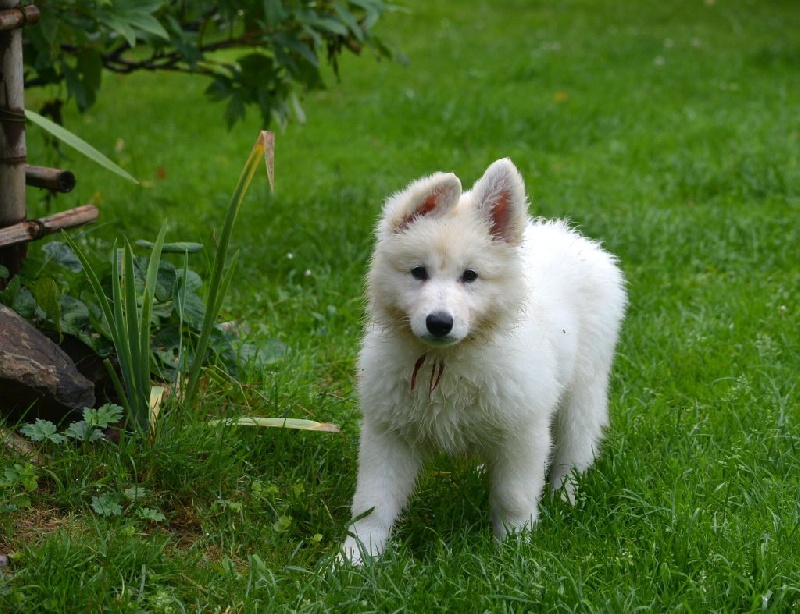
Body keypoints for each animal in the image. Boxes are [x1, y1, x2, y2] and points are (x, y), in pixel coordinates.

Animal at [340, 160, 628, 568]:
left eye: (470, 276)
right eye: (418, 272)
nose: (439, 322)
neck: (444, 362)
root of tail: (569, 235)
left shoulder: (523, 431)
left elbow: (513, 497)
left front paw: (513, 553)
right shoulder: (388, 431)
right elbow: (372, 503)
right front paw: (355, 558)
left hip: (583, 389)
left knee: (575, 452)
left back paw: (566, 498)